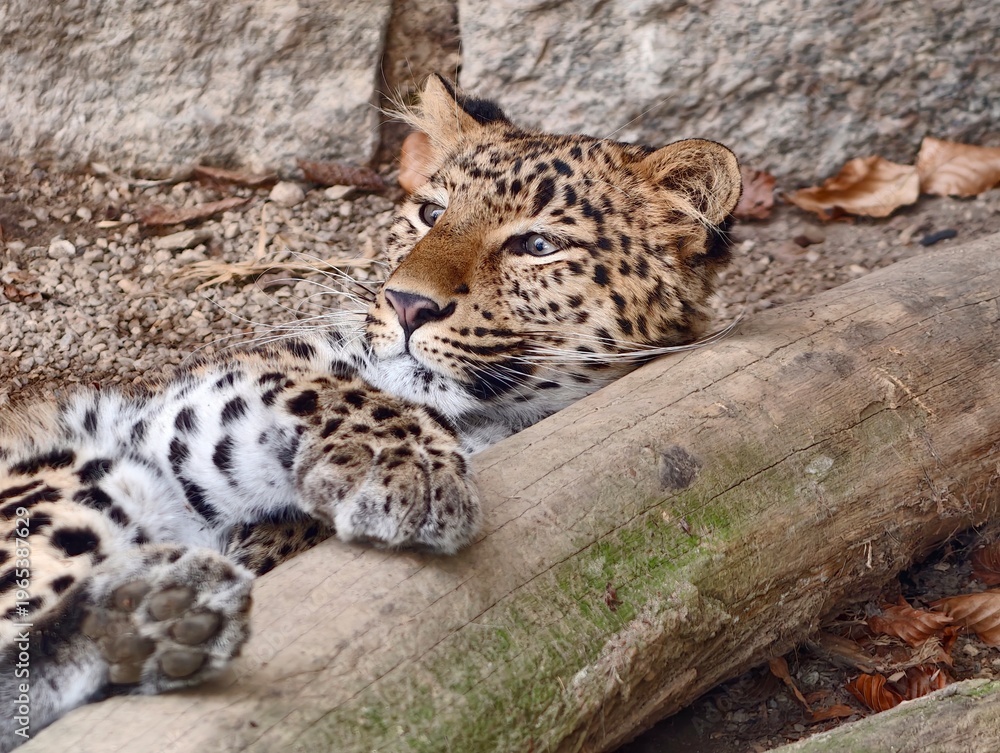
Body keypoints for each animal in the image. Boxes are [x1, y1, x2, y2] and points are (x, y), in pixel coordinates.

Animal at [0, 74, 741, 750]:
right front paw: (410, 470)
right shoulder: (165, 422)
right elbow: (303, 381)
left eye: (538, 246)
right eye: (430, 214)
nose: (406, 303)